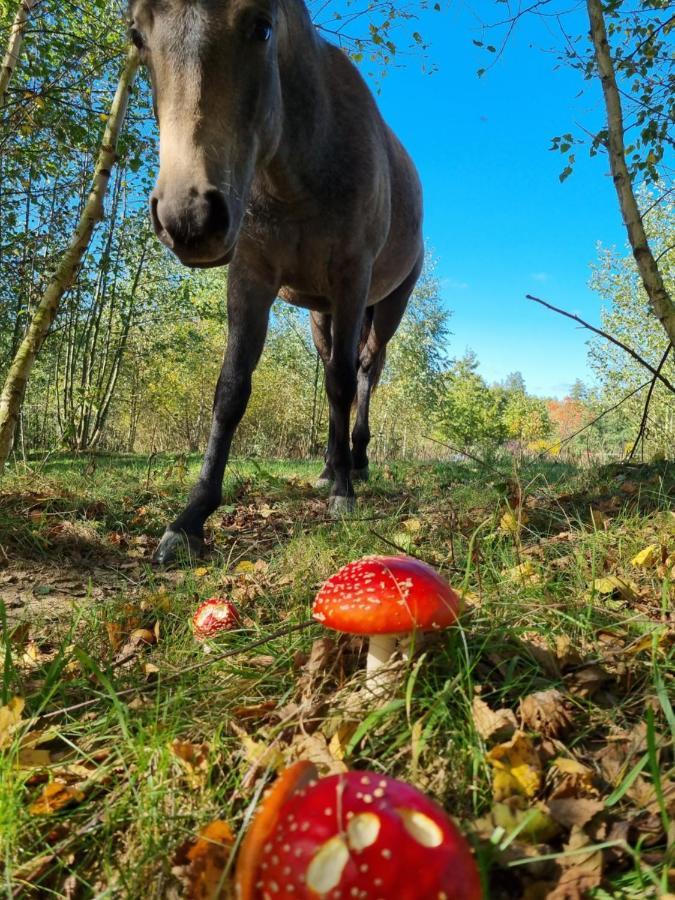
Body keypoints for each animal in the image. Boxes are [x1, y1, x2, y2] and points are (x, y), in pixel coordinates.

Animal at [126, 0, 422, 564]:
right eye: (137, 36)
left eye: (261, 27)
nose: (189, 217)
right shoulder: (251, 278)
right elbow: (231, 390)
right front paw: (190, 518)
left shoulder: (352, 280)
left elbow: (343, 382)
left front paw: (343, 493)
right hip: (320, 313)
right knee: (332, 365)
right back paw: (330, 463)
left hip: (388, 304)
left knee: (366, 372)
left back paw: (355, 461)